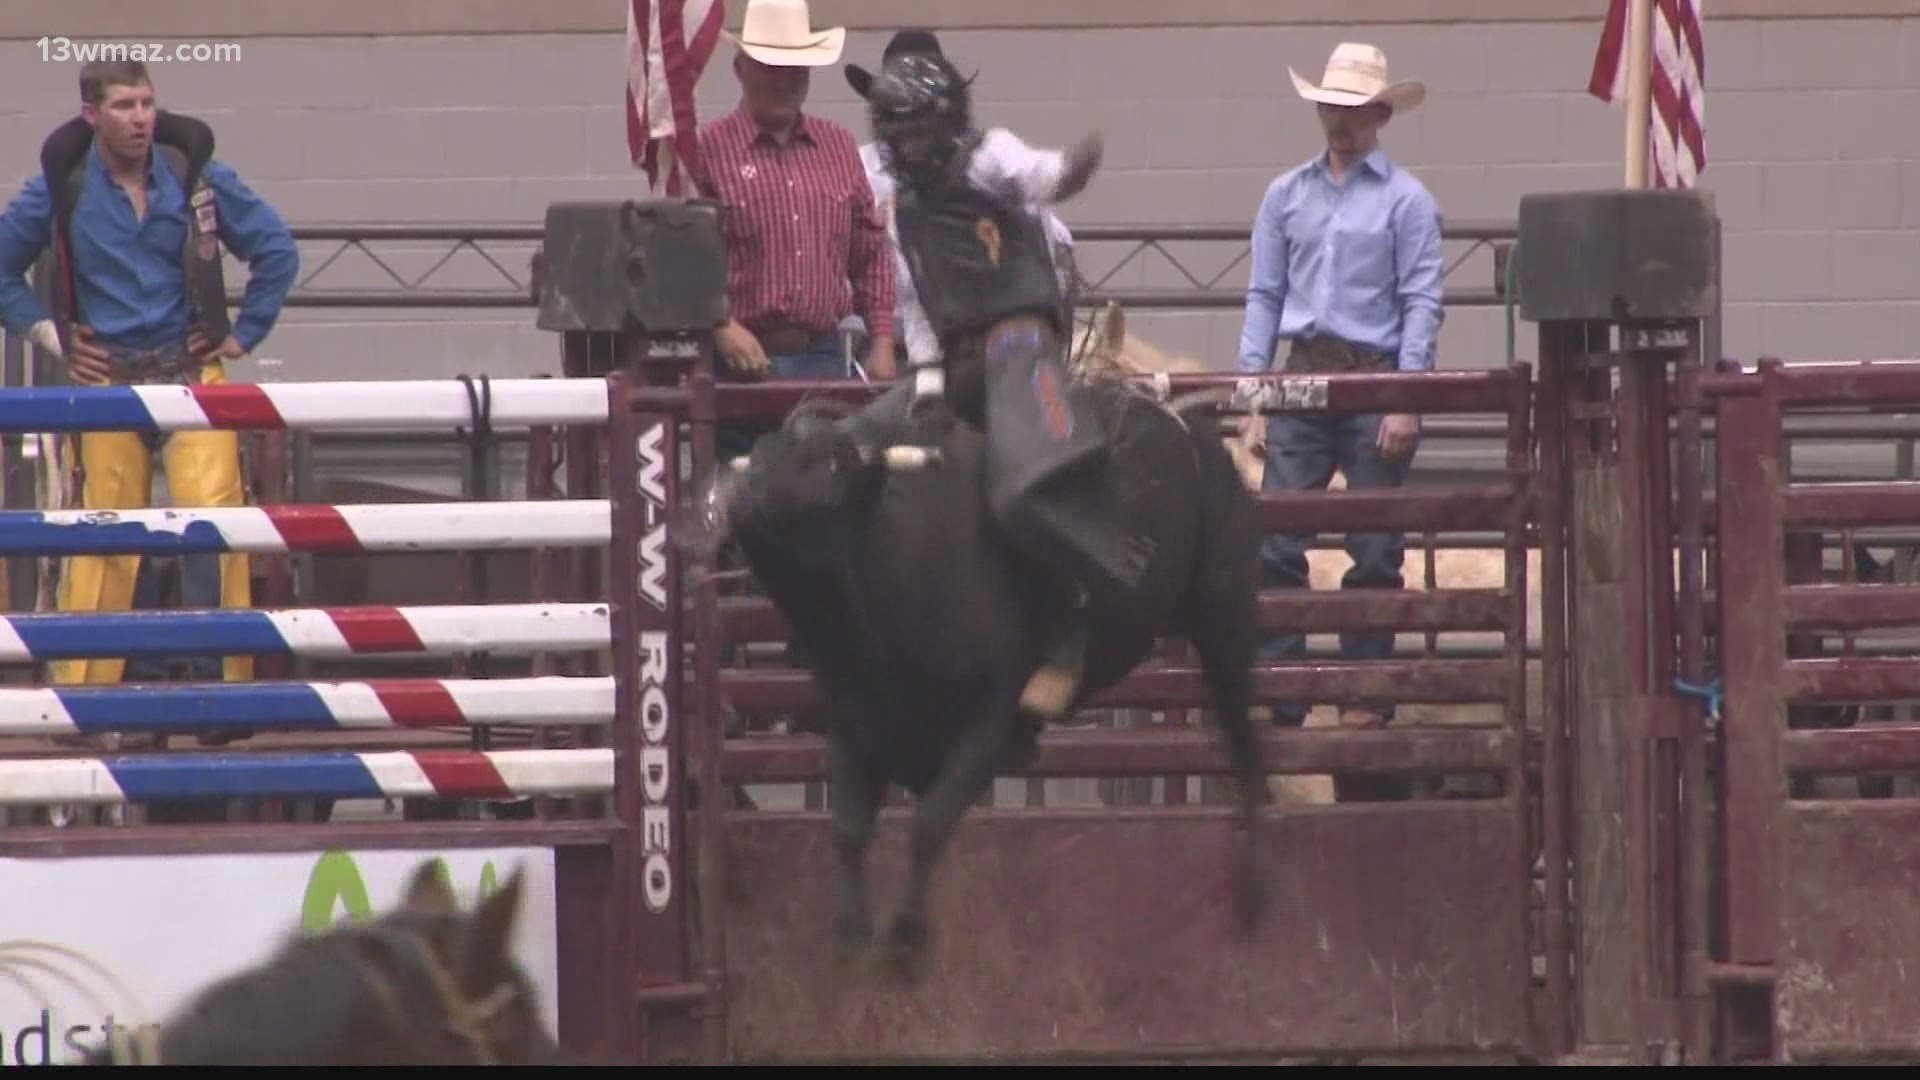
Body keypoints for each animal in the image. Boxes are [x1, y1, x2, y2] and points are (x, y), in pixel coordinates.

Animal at [706, 372, 1274, 976]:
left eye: (830, 461)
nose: (744, 490)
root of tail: (1187, 427)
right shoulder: (856, 725)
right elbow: (849, 829)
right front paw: (852, 932)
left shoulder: (992, 727)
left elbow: (929, 824)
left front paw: (906, 940)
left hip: (1225, 616)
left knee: (1244, 740)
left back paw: (1254, 882)